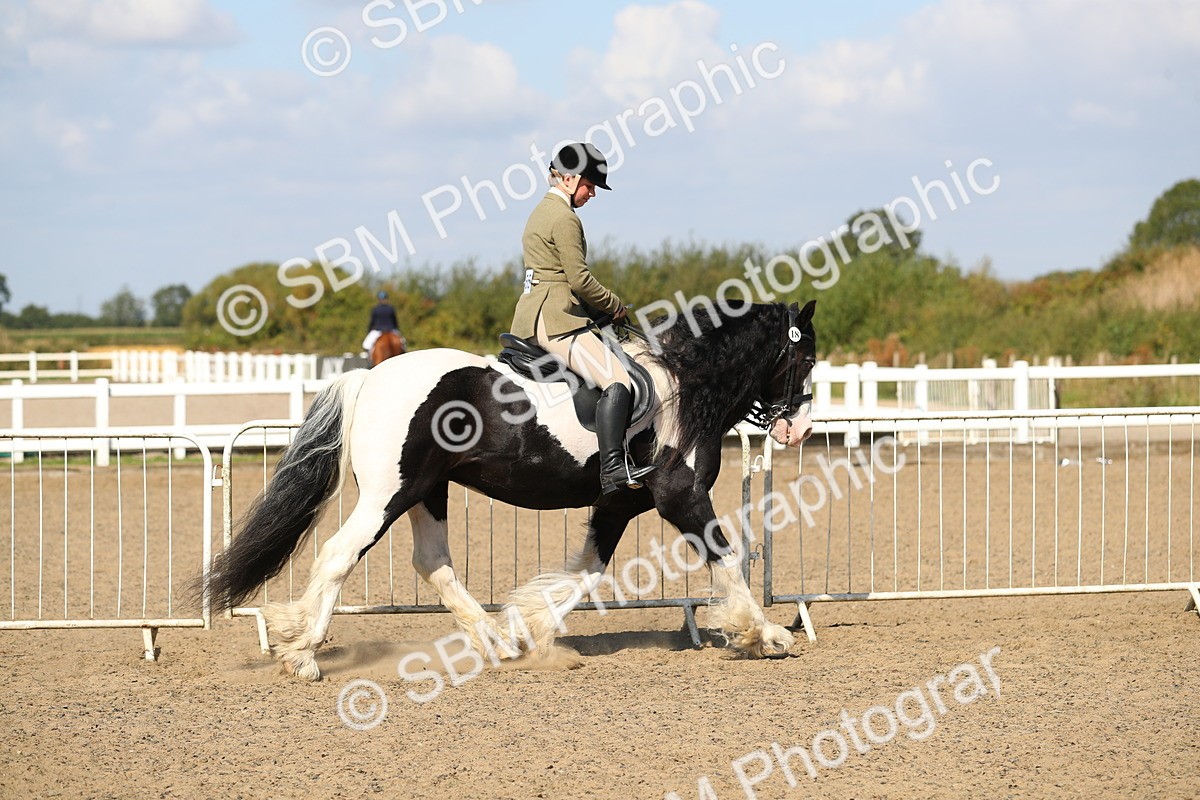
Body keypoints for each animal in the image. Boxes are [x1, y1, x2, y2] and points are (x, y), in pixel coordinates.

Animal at [203, 299, 817, 681]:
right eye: (806, 357)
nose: (799, 430)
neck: (684, 388)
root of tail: (372, 376)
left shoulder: (617, 503)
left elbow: (587, 572)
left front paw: (535, 630)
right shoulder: (679, 495)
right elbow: (728, 558)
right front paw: (762, 634)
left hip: (427, 491)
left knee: (433, 563)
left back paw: (496, 641)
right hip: (388, 495)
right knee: (339, 555)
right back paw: (302, 654)